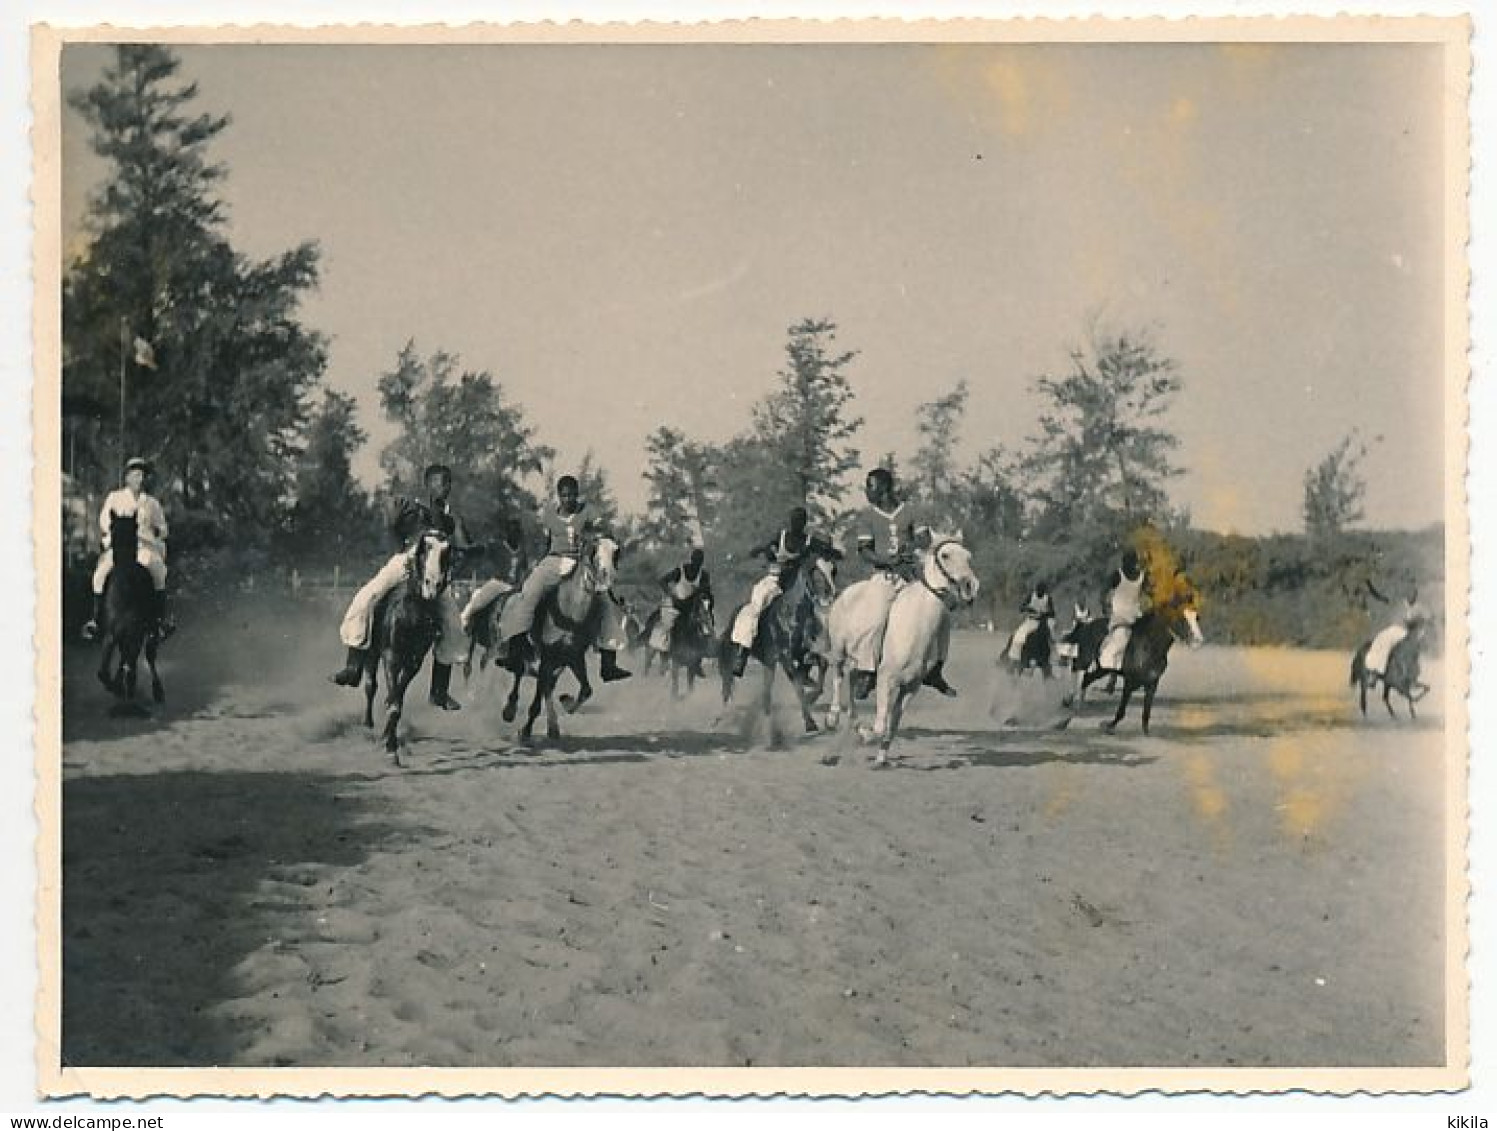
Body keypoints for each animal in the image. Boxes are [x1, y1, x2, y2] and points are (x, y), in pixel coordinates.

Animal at [95, 511, 163, 706]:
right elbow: (146, 655)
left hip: (115, 635)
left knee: (109, 669)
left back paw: (120, 687)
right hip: (131, 633)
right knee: (134, 659)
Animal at [359, 526, 452, 759]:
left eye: (447, 552)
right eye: (424, 548)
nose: (433, 585)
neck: (412, 615)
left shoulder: (413, 661)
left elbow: (397, 700)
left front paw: (389, 739)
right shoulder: (390, 657)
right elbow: (392, 701)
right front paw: (390, 747)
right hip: (373, 653)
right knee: (370, 685)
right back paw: (367, 724)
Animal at [502, 532, 619, 742]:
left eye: (616, 552)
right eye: (592, 551)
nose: (608, 577)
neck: (571, 609)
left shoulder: (574, 656)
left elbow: (586, 690)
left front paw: (566, 702)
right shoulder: (548, 655)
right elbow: (537, 697)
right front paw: (525, 730)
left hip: (559, 662)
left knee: (548, 684)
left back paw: (553, 726)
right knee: (519, 671)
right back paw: (510, 710)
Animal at [715, 553, 838, 739]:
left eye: (833, 570)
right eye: (813, 572)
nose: (830, 596)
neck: (792, 615)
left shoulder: (802, 653)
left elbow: (821, 665)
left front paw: (811, 696)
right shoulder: (786, 658)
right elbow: (798, 685)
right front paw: (810, 723)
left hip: (769, 664)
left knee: (766, 693)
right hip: (736, 660)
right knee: (728, 686)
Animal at [862, 532, 976, 762]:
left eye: (968, 556)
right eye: (945, 555)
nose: (971, 586)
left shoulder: (911, 686)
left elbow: (893, 723)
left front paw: (881, 758)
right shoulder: (885, 678)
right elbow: (880, 725)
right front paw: (866, 735)